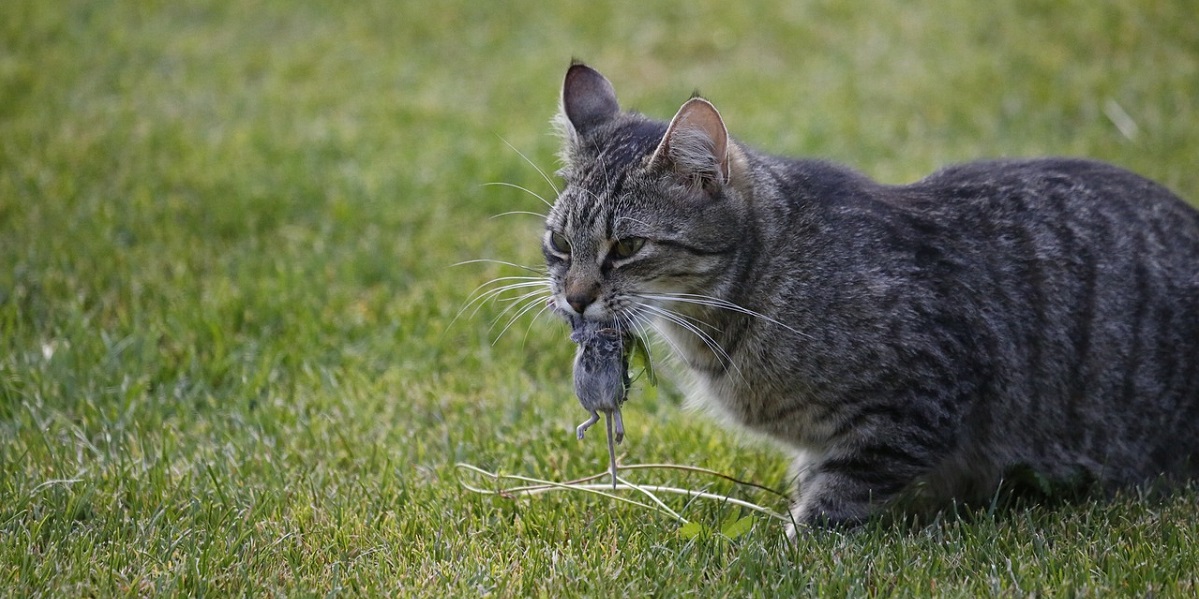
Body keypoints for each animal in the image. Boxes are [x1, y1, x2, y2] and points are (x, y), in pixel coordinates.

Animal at [539, 63, 1199, 536]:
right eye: (560, 243)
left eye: (627, 245)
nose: (575, 299)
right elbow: (816, 476)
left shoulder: (920, 398)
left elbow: (837, 496)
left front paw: (793, 548)